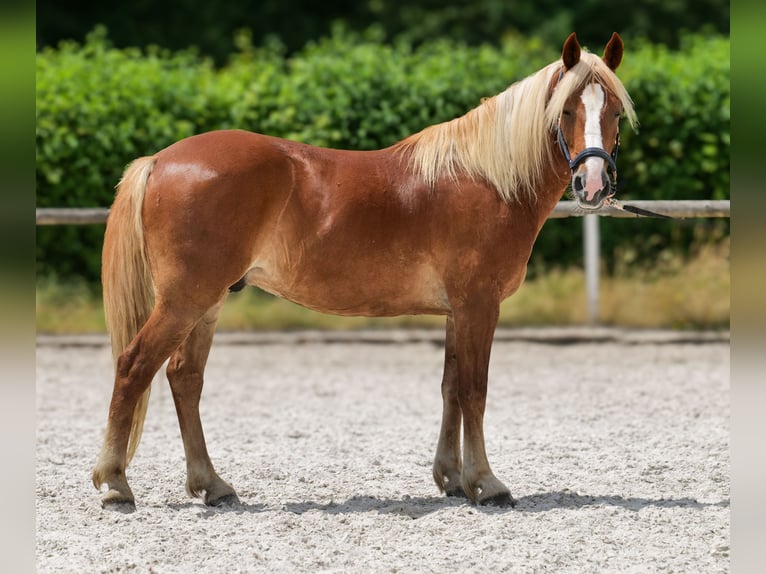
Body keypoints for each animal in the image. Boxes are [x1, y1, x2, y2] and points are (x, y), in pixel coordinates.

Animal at [92, 32, 637, 509]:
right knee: (134, 366)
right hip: (185, 300)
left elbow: (451, 389)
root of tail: (161, 159)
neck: (486, 178)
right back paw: (116, 484)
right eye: (566, 110)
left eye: (613, 110)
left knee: (185, 378)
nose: (592, 184)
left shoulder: (456, 311)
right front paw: (487, 483)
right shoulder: (479, 306)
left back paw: (213, 485)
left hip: (208, 302)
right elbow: (474, 391)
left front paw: (452, 478)